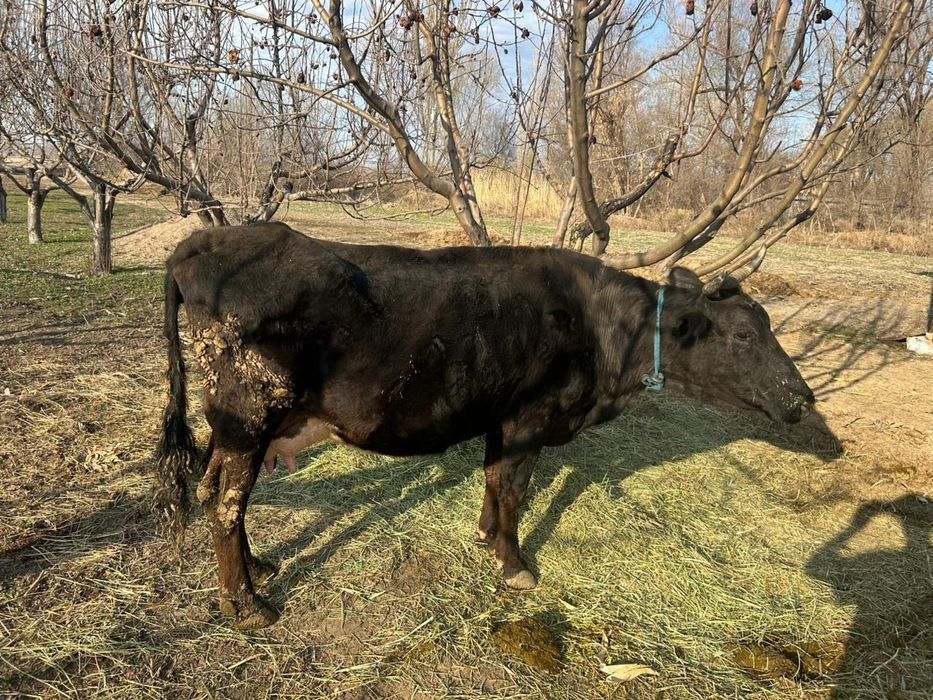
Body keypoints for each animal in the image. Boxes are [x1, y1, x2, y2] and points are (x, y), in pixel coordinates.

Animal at [155, 222, 815, 630]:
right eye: (743, 334)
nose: (803, 398)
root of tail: (203, 240)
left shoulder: (502, 415)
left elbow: (495, 480)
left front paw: (486, 536)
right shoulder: (532, 416)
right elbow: (517, 489)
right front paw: (515, 565)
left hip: (236, 425)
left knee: (215, 489)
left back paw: (258, 569)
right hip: (247, 415)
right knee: (226, 501)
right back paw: (247, 605)